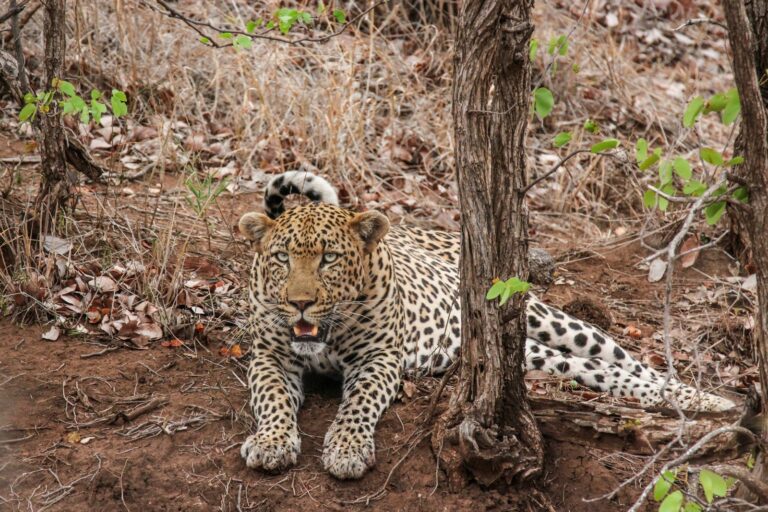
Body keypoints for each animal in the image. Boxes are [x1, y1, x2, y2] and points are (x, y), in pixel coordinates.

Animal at [238, 170, 735, 480]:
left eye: (329, 259)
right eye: (281, 258)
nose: (300, 303)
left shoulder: (378, 358)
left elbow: (358, 404)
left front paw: (345, 449)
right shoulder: (270, 356)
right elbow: (272, 398)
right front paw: (271, 442)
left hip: (545, 318)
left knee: (622, 360)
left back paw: (708, 403)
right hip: (518, 351)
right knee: (591, 369)